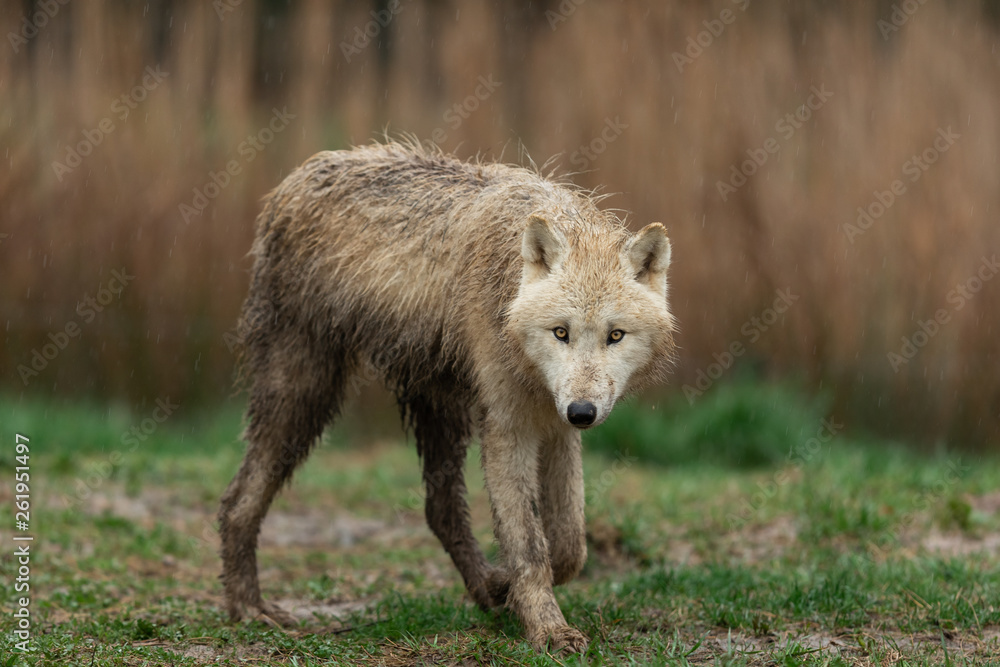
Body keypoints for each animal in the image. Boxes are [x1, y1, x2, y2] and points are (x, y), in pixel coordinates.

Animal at [218, 141, 676, 653]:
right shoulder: (508, 428)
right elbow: (528, 544)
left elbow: (568, 545)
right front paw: (548, 629)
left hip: (438, 411)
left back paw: (486, 587)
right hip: (306, 401)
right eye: (561, 332)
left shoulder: (556, 428)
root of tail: (296, 177)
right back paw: (249, 608)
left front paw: (515, 592)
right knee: (237, 501)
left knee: (439, 510)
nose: (583, 412)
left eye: (615, 336)